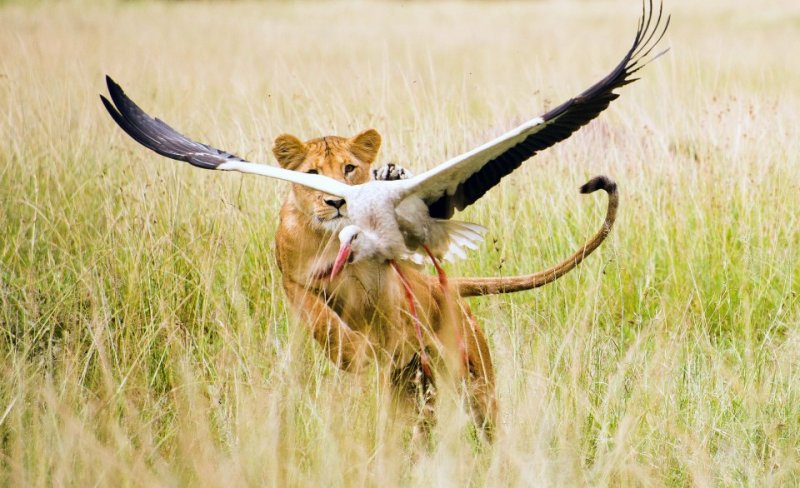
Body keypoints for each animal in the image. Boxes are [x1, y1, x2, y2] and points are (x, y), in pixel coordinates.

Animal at [272, 129, 616, 434]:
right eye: (312, 172)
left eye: (349, 168)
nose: (336, 202)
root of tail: (447, 289)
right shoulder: (292, 280)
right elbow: (319, 317)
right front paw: (350, 353)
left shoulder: (390, 286)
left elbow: (385, 314)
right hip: (418, 391)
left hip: (477, 388)